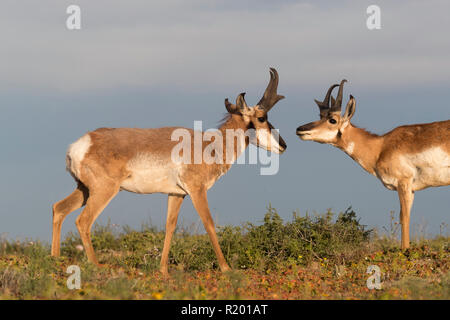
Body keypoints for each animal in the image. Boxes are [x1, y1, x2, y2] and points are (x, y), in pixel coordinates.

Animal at [51, 67, 284, 272]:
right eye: (262, 118)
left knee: (59, 208)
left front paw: (163, 270)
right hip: (104, 191)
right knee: (83, 221)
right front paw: (226, 268)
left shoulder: (176, 194)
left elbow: (170, 226)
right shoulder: (197, 191)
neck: (210, 144)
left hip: (84, 190)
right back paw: (96, 265)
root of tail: (81, 144)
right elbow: (208, 223)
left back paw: (54, 259)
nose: (284, 145)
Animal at [298, 80, 448, 250]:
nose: (300, 129)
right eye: (320, 116)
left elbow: (404, 217)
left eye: (332, 120)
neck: (381, 146)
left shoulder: (403, 183)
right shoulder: (411, 189)